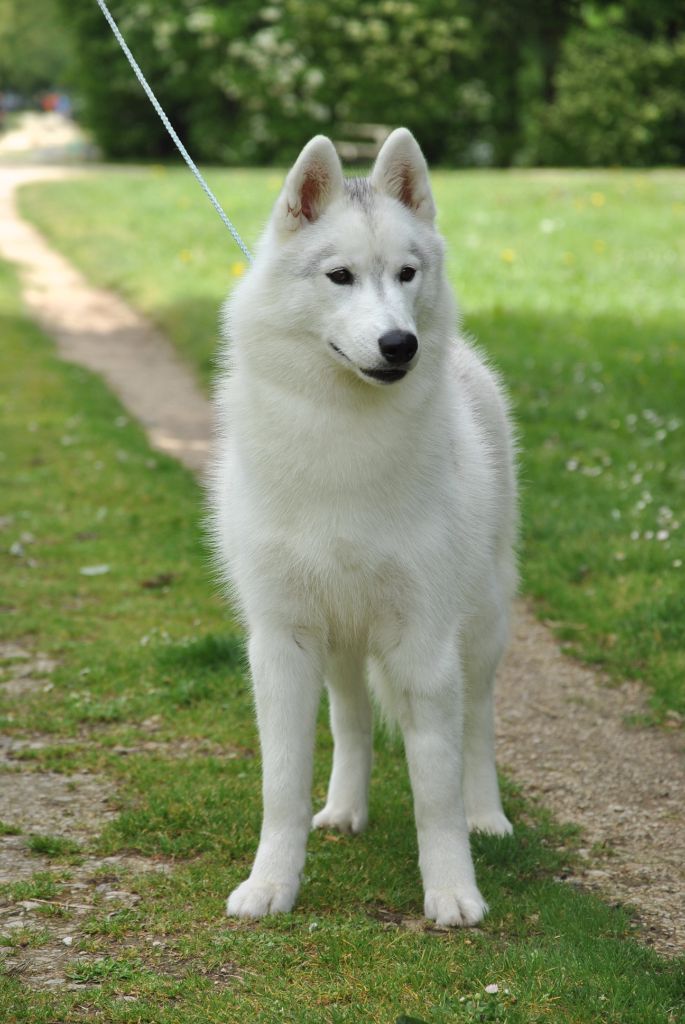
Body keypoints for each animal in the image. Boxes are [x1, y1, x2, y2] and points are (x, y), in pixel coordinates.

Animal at [210, 130, 516, 929]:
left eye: (407, 274)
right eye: (339, 277)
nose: (400, 344)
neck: (342, 439)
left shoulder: (424, 645)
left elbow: (435, 795)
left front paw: (453, 892)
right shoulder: (283, 644)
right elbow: (281, 788)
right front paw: (271, 885)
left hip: (481, 629)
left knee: (478, 728)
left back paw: (488, 815)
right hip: (341, 640)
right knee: (349, 720)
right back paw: (344, 809)